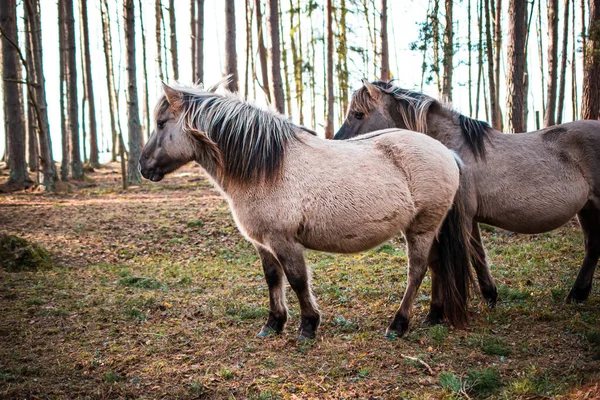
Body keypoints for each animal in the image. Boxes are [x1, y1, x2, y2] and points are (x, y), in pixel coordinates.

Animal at [139, 83, 474, 340]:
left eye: (160, 123)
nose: (142, 166)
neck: (266, 169)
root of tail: (447, 152)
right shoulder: (263, 244)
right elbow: (273, 279)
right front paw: (273, 324)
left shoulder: (285, 241)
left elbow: (297, 279)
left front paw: (308, 326)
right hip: (429, 228)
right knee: (436, 265)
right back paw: (434, 315)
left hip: (421, 228)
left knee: (417, 270)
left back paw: (398, 324)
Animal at [336, 78, 600, 318]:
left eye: (358, 114)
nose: (337, 144)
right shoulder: (466, 219)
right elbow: (476, 255)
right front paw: (489, 295)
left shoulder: (458, 217)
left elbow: (446, 260)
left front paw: (439, 312)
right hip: (587, 209)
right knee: (592, 247)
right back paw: (577, 295)